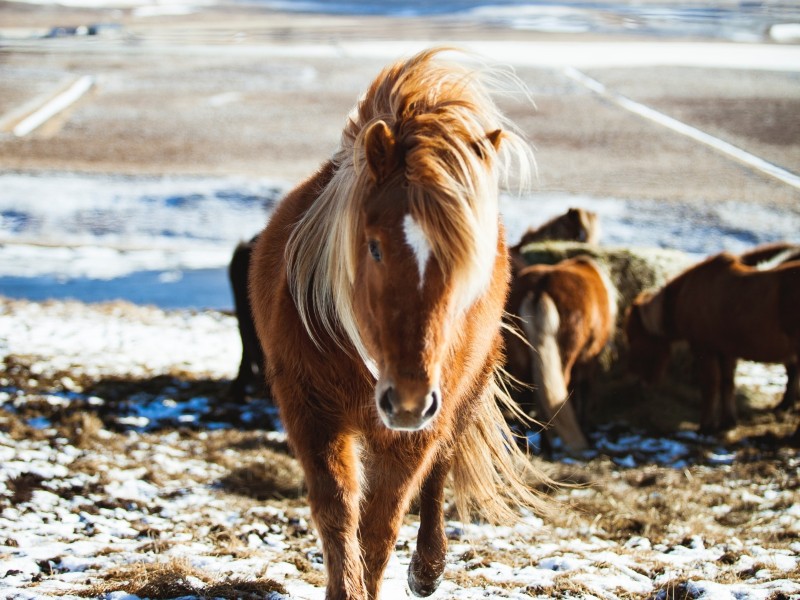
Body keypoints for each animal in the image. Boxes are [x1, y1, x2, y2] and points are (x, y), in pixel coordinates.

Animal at [249, 48, 550, 600]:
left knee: (439, 472)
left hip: (460, 396)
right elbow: (338, 513)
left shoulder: (416, 429)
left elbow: (380, 527)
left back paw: (428, 570)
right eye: (374, 246)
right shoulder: (309, 411)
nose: (407, 398)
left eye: (464, 262)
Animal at [505, 256, 616, 452]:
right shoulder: (589, 360)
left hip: (521, 362)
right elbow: (583, 391)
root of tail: (538, 288)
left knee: (524, 398)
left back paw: (524, 446)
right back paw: (548, 447)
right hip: (564, 359)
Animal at [624, 251, 800, 433]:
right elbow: (727, 384)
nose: (631, 381)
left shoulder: (704, 348)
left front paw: (706, 426)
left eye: (634, 338)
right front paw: (727, 421)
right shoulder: (726, 351)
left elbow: (710, 385)